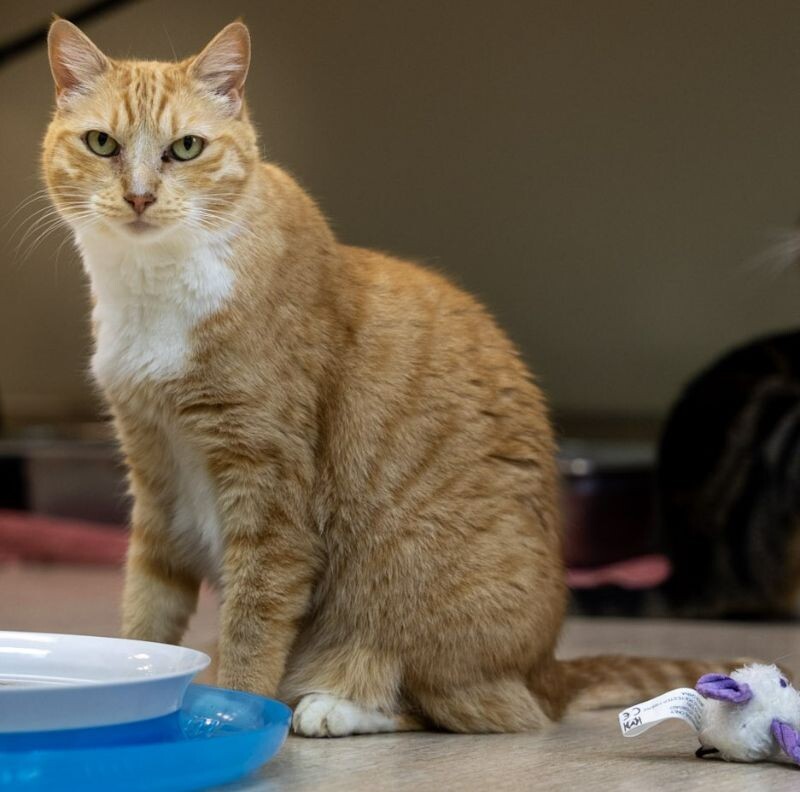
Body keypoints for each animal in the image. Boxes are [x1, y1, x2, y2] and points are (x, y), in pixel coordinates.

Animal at [43, 20, 732, 736]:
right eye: (101, 143)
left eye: (185, 148)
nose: (140, 196)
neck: (152, 289)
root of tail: (548, 670)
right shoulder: (154, 475)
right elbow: (147, 612)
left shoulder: (270, 494)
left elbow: (253, 627)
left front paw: (236, 709)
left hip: (410, 598)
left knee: (450, 705)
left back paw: (333, 706)